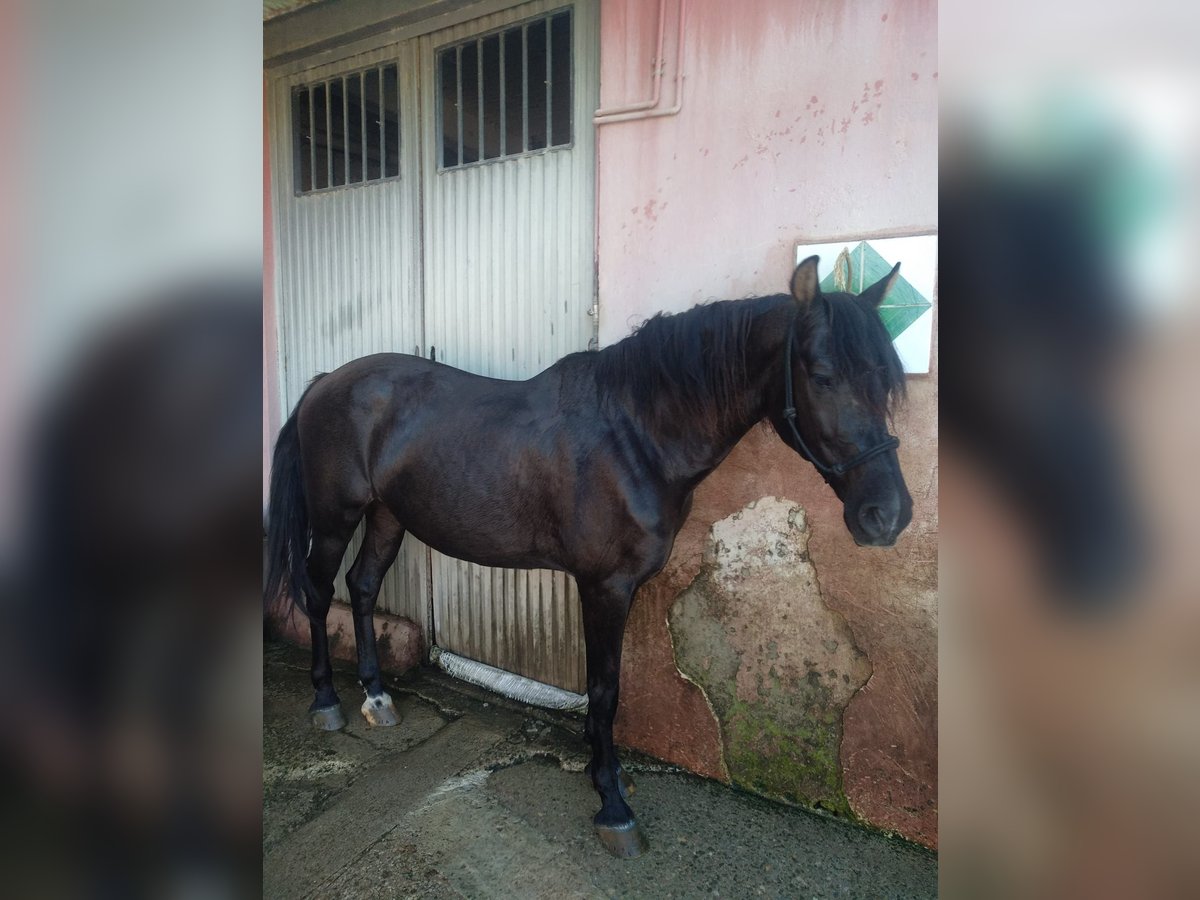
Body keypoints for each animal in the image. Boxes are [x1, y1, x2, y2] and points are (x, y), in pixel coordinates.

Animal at [265, 255, 907, 859]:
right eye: (822, 376)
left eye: (884, 378)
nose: (889, 515)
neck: (635, 436)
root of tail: (327, 381)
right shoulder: (605, 586)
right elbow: (604, 688)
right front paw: (613, 805)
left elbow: (608, 686)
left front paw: (606, 773)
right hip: (335, 519)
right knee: (319, 592)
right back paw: (328, 703)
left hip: (387, 515)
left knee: (363, 586)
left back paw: (377, 697)